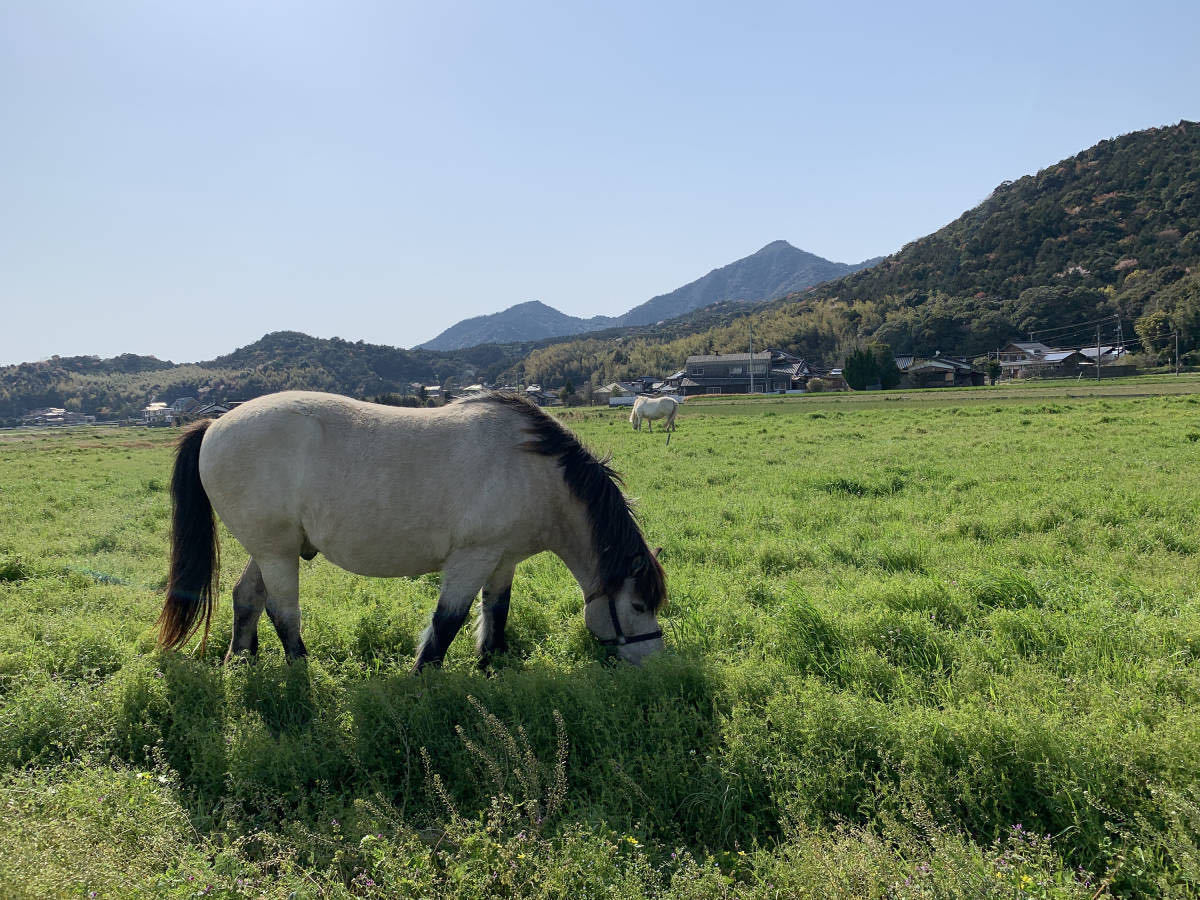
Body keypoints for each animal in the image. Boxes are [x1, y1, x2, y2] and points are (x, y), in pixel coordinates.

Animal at [157, 391, 667, 672]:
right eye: (639, 606)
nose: (654, 663)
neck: (531, 468)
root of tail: (215, 424)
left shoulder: (501, 559)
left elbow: (496, 612)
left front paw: (492, 664)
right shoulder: (471, 558)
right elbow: (447, 622)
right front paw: (424, 679)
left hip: (269, 551)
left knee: (247, 598)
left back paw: (240, 662)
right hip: (277, 554)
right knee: (283, 614)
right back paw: (301, 673)